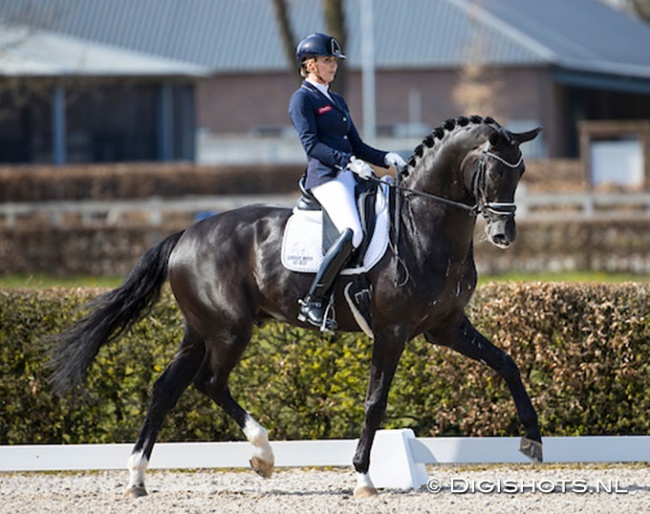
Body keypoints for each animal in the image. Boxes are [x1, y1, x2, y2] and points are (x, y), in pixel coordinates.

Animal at [46, 115, 540, 496]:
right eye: (492, 172)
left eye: (520, 174)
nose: (503, 236)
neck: (423, 228)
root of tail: (186, 234)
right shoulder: (392, 331)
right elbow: (375, 400)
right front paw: (362, 476)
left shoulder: (447, 326)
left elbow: (506, 363)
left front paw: (533, 439)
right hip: (230, 329)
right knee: (209, 382)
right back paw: (262, 454)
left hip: (200, 331)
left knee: (167, 388)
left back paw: (137, 477)